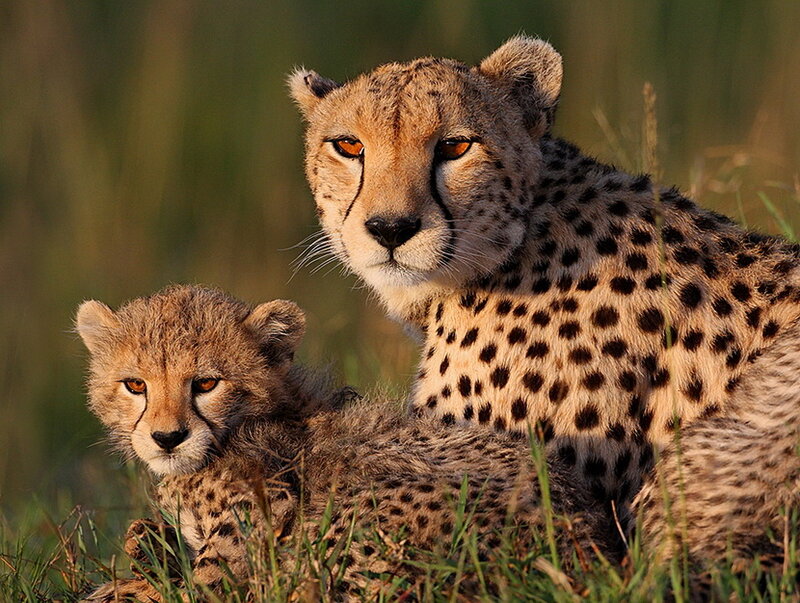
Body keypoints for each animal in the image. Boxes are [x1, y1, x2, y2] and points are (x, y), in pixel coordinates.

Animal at [77, 285, 609, 601]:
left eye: (206, 384)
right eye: (135, 385)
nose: (167, 438)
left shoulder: (264, 503)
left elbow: (209, 580)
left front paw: (136, 581)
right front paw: (149, 546)